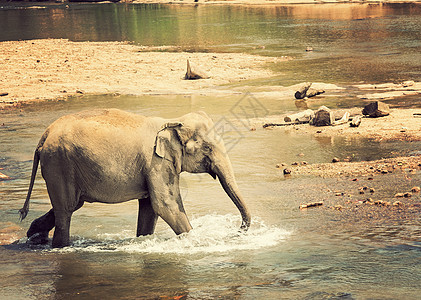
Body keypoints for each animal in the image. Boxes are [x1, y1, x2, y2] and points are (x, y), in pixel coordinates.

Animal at [19, 109, 249, 247]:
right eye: (208, 149)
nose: (239, 229)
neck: (173, 120)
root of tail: (45, 135)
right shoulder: (157, 162)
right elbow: (166, 205)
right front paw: (199, 242)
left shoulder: (154, 166)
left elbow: (150, 208)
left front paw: (144, 240)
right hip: (59, 163)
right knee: (66, 210)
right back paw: (59, 246)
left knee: (72, 204)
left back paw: (35, 236)